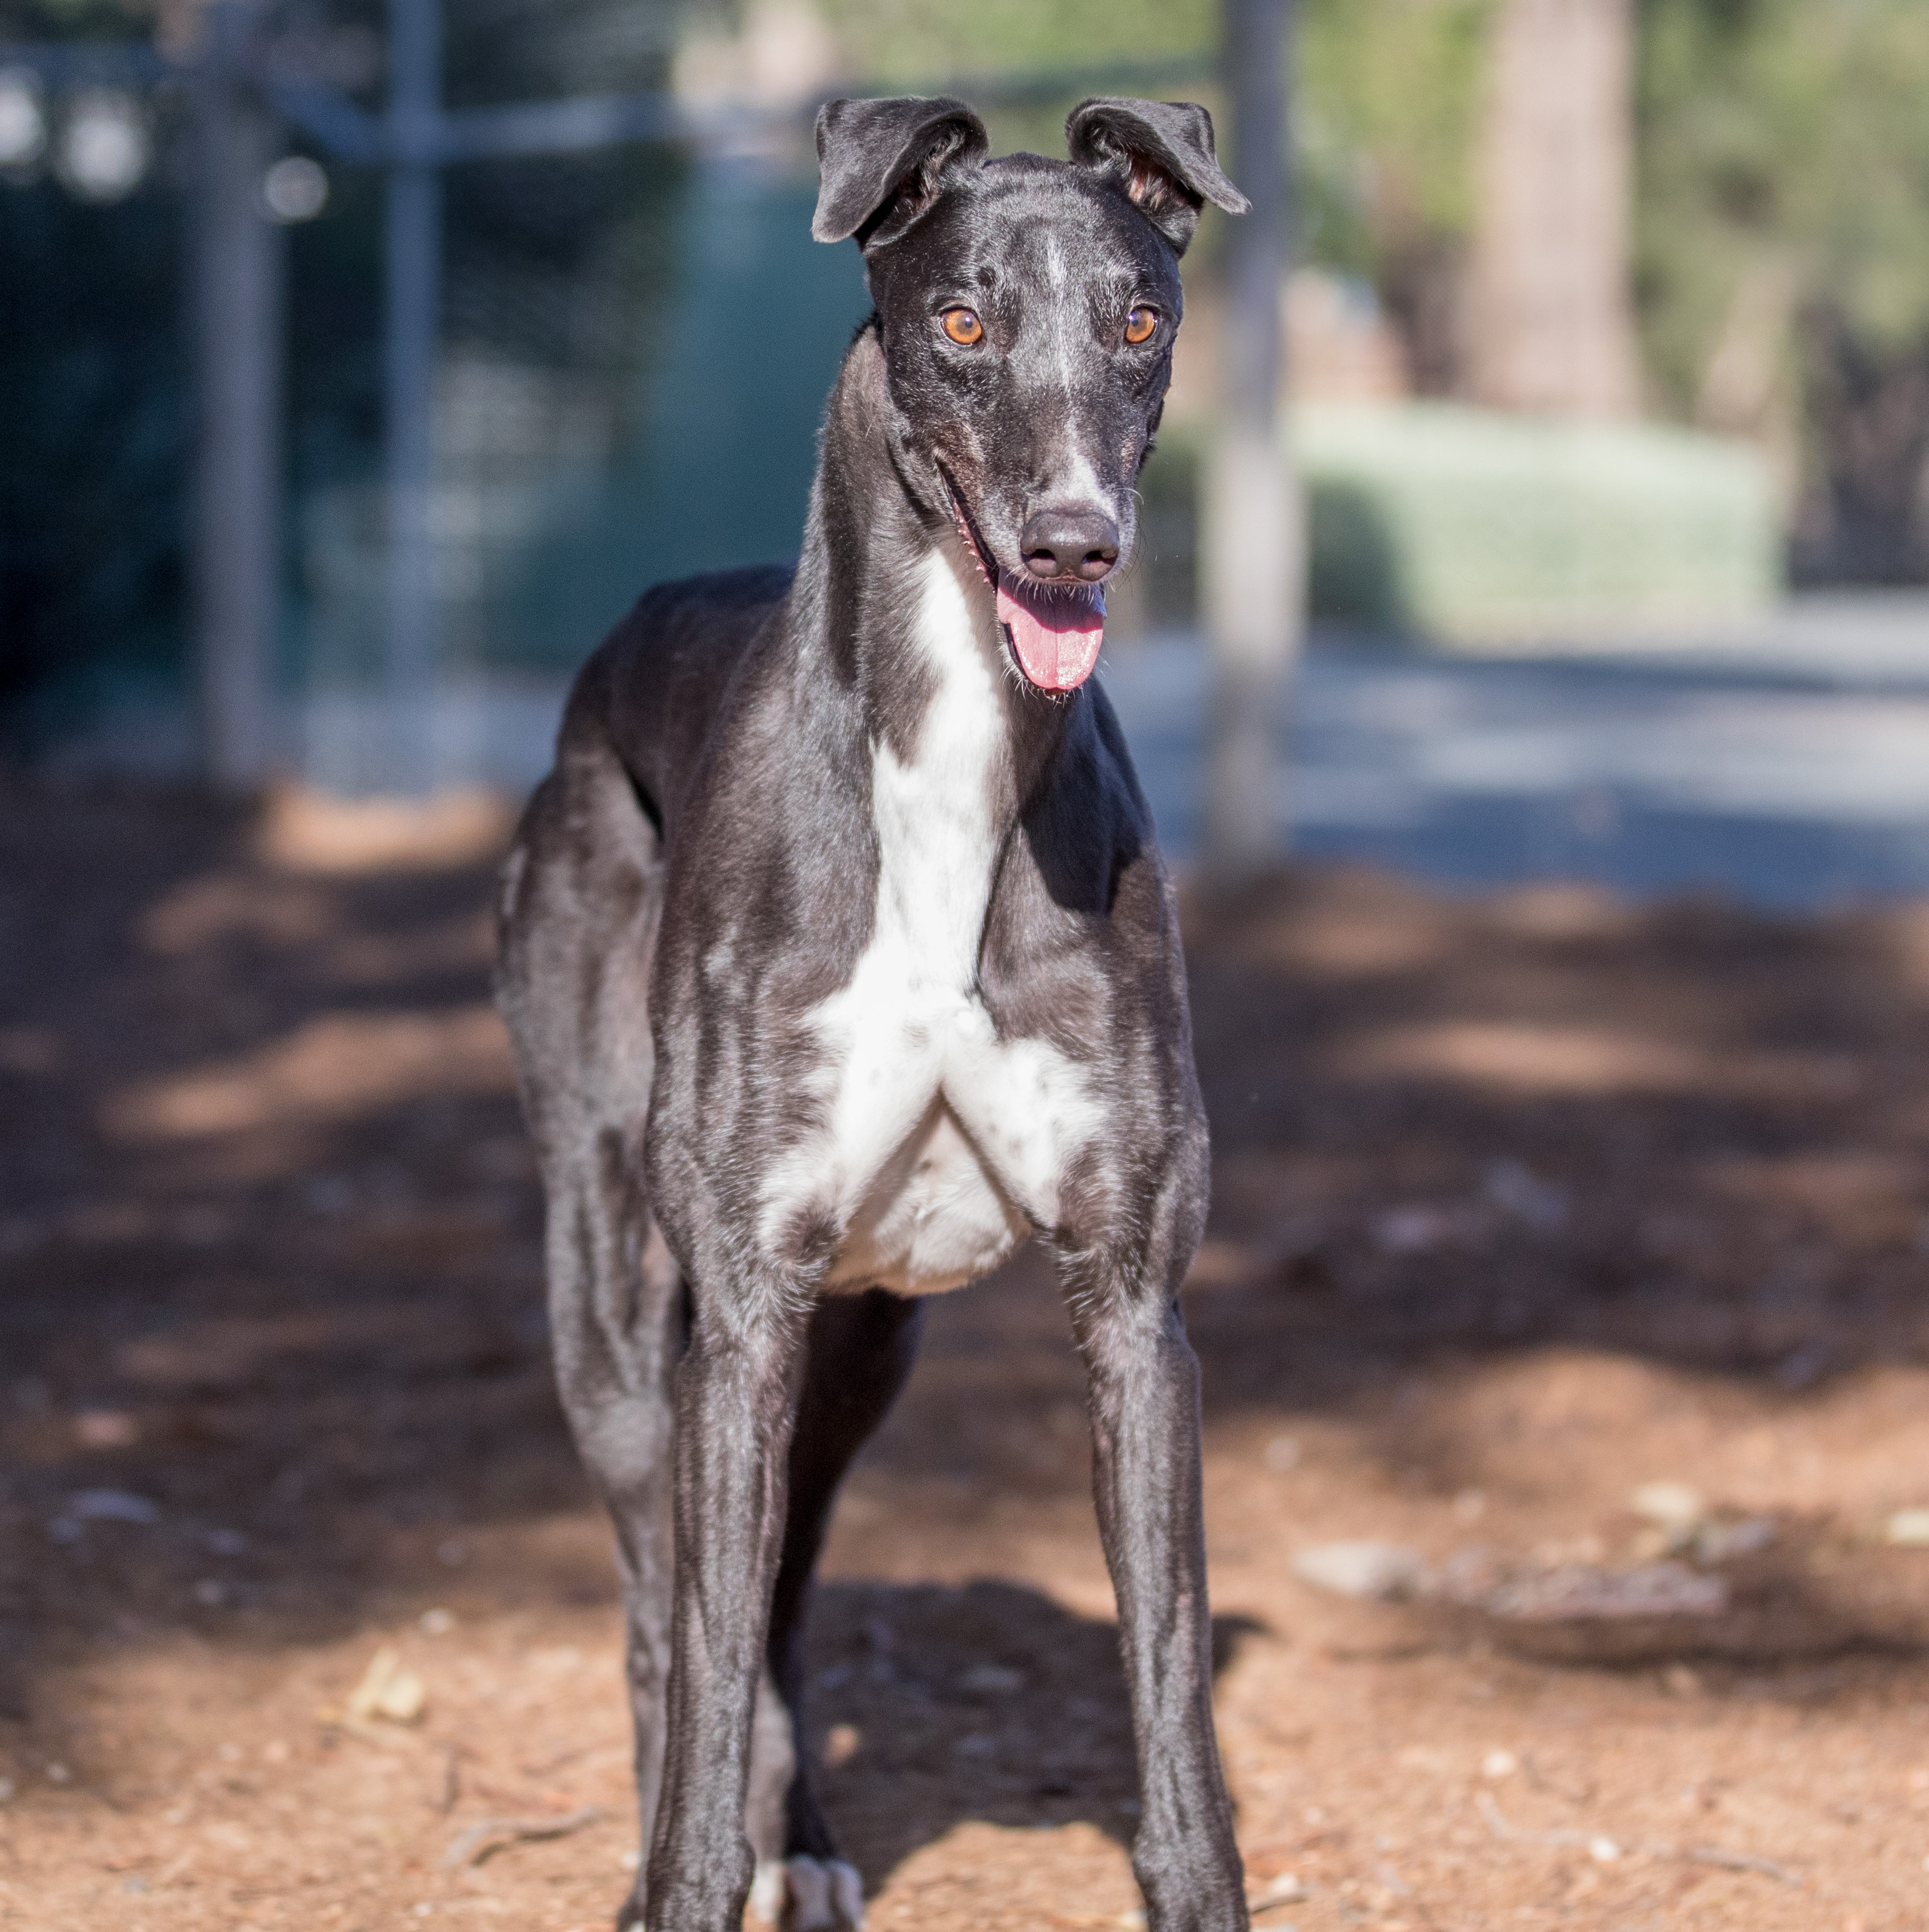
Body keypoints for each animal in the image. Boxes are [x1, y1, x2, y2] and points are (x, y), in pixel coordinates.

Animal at [496, 93, 1252, 1932]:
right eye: (960, 323)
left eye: (1140, 321)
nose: (1074, 544)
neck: (953, 770)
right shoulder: (738, 1304)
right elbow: (696, 1684)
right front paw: (688, 1879)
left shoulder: (1133, 1309)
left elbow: (1168, 1693)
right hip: (618, 1307)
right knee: (665, 1621)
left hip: (860, 1346)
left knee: (769, 1608)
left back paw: (812, 1836)